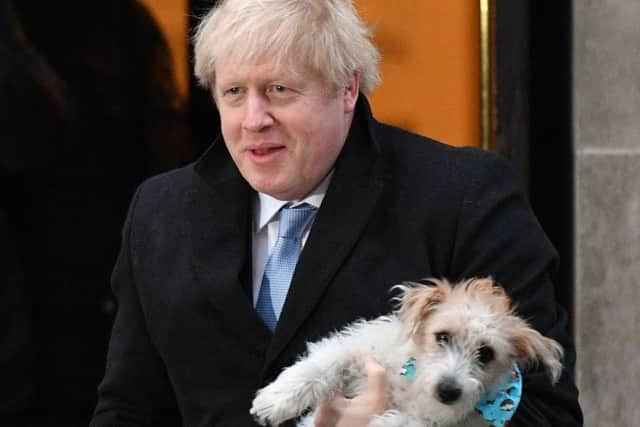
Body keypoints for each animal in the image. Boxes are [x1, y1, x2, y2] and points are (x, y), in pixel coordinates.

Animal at [250, 280, 564, 426]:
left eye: (486, 353)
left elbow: (408, 422)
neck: (412, 384)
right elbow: (323, 364)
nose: (448, 391)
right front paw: (276, 400)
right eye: (442, 336)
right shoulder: (361, 347)